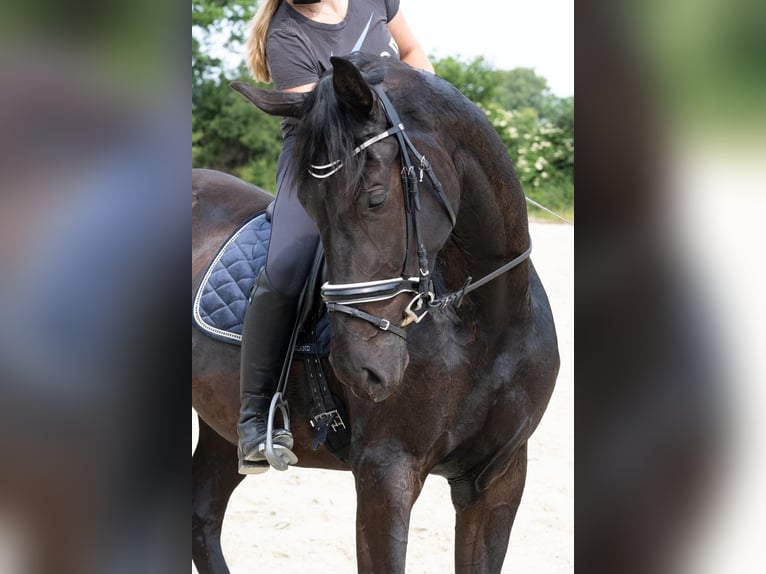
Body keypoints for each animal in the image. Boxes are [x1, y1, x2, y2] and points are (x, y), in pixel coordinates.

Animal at [192, 53, 560, 574]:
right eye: (306, 204)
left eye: (376, 198)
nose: (359, 370)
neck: (486, 326)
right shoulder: (385, 473)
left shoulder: (499, 478)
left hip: (219, 426)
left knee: (201, 514)